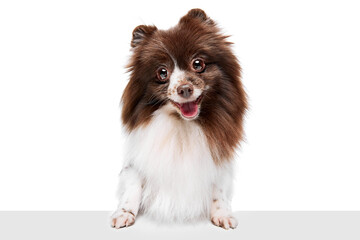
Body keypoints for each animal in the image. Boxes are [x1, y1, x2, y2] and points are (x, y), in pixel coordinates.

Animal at [111, 8, 248, 231]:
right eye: (162, 72)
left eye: (198, 64)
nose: (184, 88)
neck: (182, 123)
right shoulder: (137, 159)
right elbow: (133, 185)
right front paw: (124, 213)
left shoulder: (219, 160)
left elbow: (218, 189)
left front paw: (222, 213)